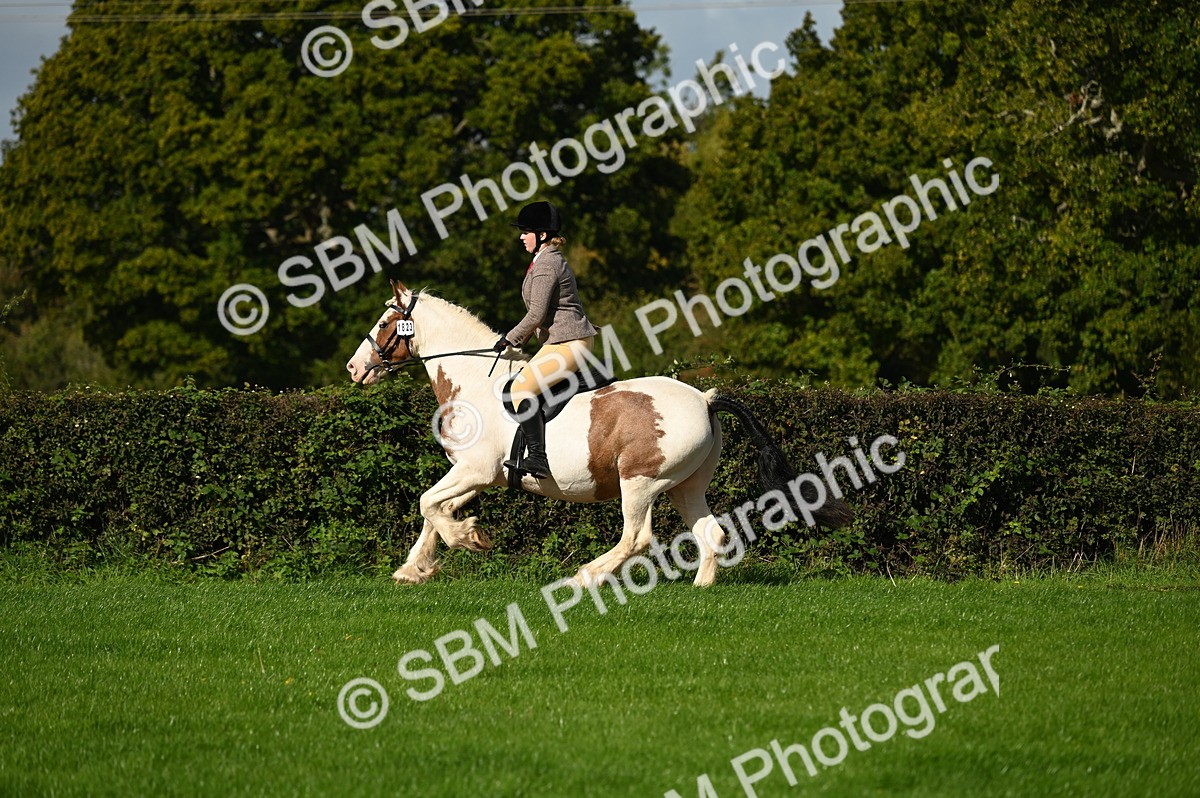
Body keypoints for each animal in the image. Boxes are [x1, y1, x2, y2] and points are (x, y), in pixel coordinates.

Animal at [345, 280, 853, 587]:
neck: (473, 381)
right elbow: (434, 510)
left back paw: (582, 577)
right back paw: (700, 587)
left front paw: (470, 539)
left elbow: (427, 504)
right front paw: (415, 568)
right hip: (685, 485)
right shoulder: (477, 474)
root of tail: (705, 399)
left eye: (385, 323)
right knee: (710, 531)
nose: (353, 369)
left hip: (640, 481)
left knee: (637, 538)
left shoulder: (476, 470)